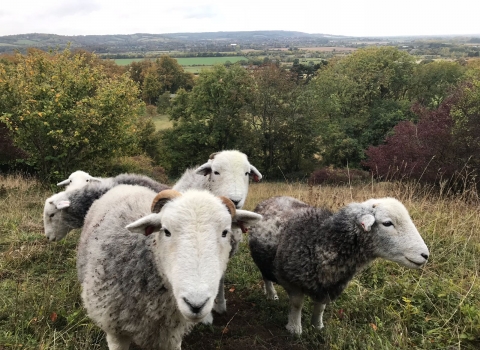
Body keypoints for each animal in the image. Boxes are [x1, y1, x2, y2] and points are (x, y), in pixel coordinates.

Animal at [249, 196, 430, 334]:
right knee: (266, 277)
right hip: (262, 259)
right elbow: (297, 304)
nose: (425, 255)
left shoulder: (330, 285)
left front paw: (317, 327)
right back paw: (271, 294)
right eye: (387, 223)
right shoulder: (291, 279)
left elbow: (320, 307)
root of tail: (273, 198)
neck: (320, 240)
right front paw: (295, 329)